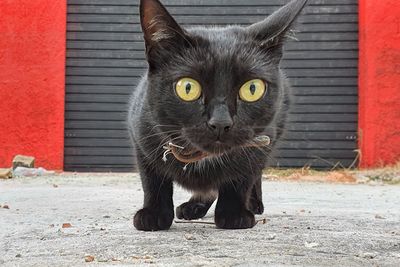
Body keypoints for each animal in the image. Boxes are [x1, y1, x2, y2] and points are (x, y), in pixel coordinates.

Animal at [129, 0, 310, 231]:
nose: (221, 123)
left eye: (253, 89)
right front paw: (153, 214)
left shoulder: (261, 143)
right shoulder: (141, 136)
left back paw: (254, 203)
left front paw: (234, 214)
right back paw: (194, 206)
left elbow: (241, 176)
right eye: (187, 88)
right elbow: (152, 180)